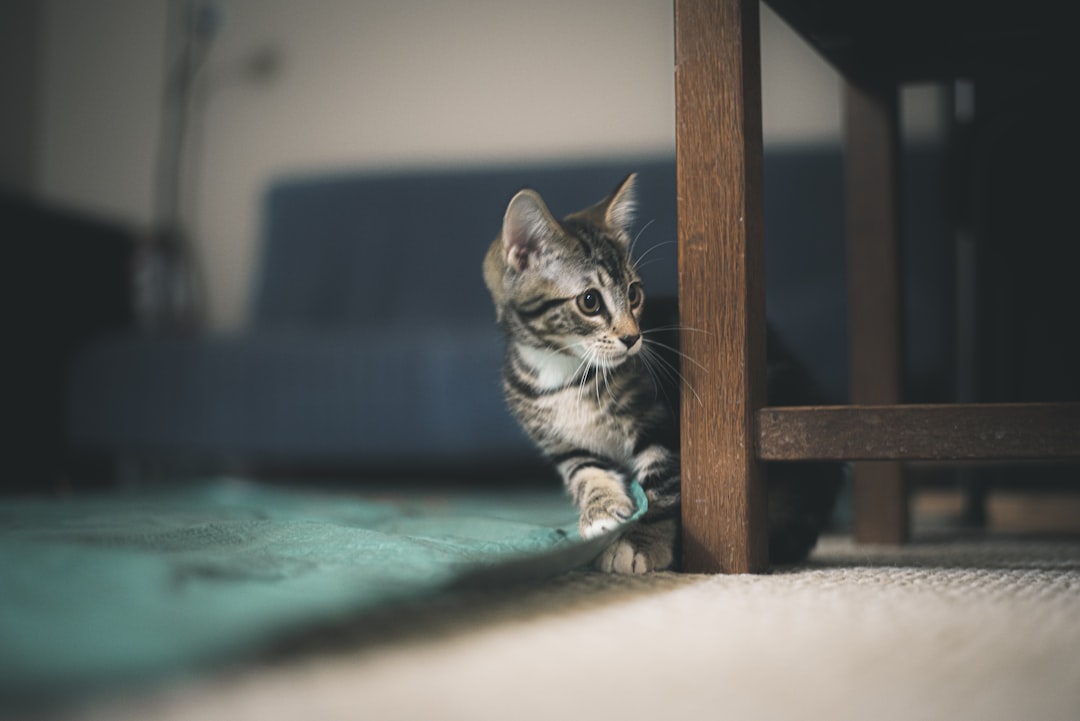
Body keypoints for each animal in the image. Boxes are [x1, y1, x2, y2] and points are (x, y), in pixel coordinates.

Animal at [486, 171, 838, 569]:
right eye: (590, 301)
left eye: (634, 294)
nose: (632, 338)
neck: (565, 372)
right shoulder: (564, 447)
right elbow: (586, 472)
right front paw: (601, 511)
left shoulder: (660, 422)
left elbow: (661, 486)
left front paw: (640, 542)